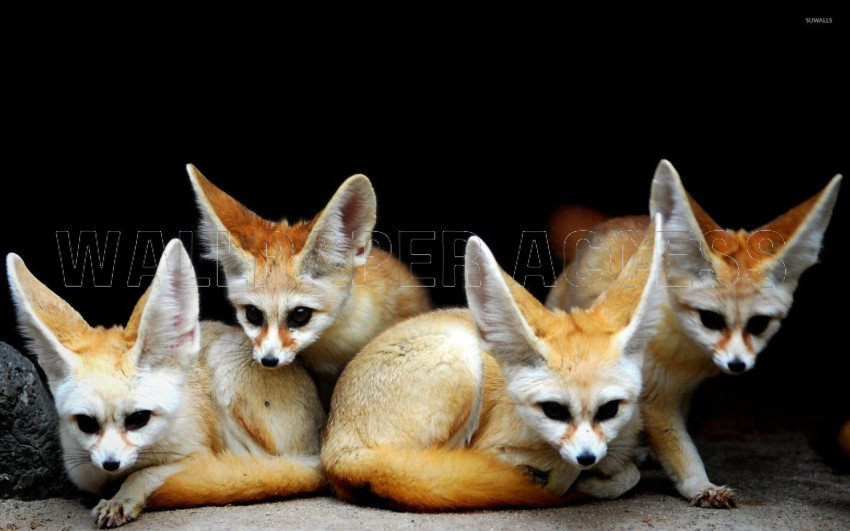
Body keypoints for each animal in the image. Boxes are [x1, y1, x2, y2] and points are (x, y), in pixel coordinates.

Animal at [7, 240, 325, 528]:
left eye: (139, 419)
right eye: (86, 423)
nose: (111, 463)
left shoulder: (198, 454)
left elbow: (148, 473)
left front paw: (124, 496)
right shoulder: (84, 470)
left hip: (224, 368)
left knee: (268, 469)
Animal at [321, 217, 665, 511]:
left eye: (610, 410)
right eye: (554, 410)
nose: (587, 457)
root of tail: (334, 445)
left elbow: (629, 472)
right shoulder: (491, 448)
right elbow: (567, 473)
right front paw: (575, 482)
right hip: (463, 360)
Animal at [546, 160, 842, 508]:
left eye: (758, 324)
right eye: (710, 319)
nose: (737, 365)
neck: (686, 357)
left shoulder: (679, 391)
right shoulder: (651, 397)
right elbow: (679, 449)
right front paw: (700, 485)